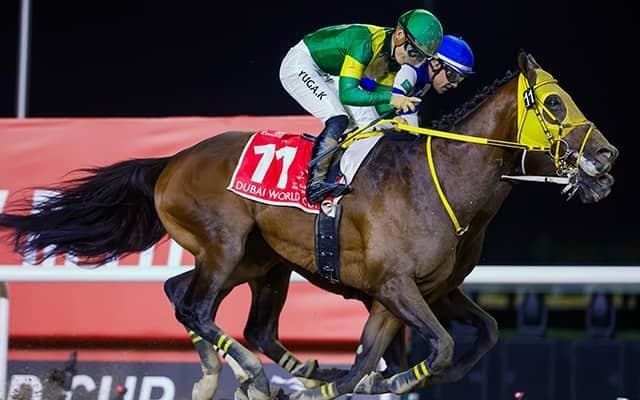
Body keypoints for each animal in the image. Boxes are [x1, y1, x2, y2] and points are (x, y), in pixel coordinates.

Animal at [0, 50, 618, 400]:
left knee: (206, 305)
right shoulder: (396, 286)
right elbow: (436, 347)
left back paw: (253, 371)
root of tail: (173, 159)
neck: (441, 179)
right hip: (225, 245)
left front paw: (371, 378)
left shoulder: (422, 293)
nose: (606, 156)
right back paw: (253, 375)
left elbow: (474, 336)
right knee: (199, 308)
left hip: (261, 263)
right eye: (556, 105)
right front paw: (390, 379)